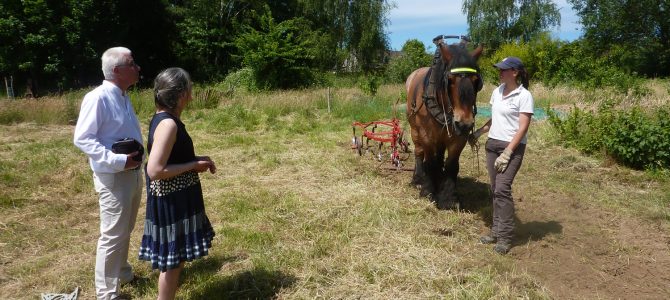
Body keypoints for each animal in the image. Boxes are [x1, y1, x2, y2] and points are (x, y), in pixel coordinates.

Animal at [404, 42, 484, 210]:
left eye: (476, 80)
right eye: (450, 80)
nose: (465, 124)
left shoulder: (458, 138)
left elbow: (452, 165)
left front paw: (449, 198)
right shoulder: (426, 136)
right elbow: (430, 162)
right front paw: (428, 191)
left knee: (440, 154)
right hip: (415, 129)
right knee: (419, 152)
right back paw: (418, 178)